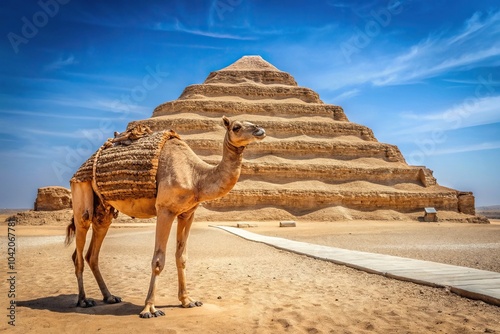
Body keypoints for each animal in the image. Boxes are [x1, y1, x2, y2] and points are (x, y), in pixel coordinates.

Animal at [65, 117, 266, 318]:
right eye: (236, 127)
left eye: (252, 122)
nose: (260, 130)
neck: (197, 177)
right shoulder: (164, 210)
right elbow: (158, 260)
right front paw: (149, 309)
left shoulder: (187, 213)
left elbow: (181, 257)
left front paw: (188, 301)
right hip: (81, 191)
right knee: (80, 244)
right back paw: (83, 300)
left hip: (103, 210)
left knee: (93, 251)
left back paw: (110, 297)